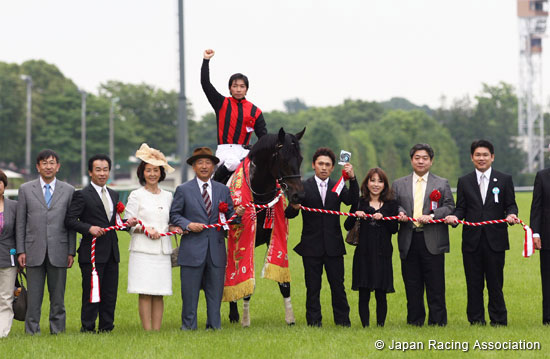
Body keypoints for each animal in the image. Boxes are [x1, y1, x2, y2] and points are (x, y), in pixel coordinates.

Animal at [227, 128, 308, 328]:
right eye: (283, 159)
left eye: (301, 158)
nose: (299, 196)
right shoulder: (246, 240)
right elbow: (246, 282)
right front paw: (245, 320)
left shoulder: (273, 237)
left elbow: (284, 283)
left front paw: (290, 318)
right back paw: (233, 314)